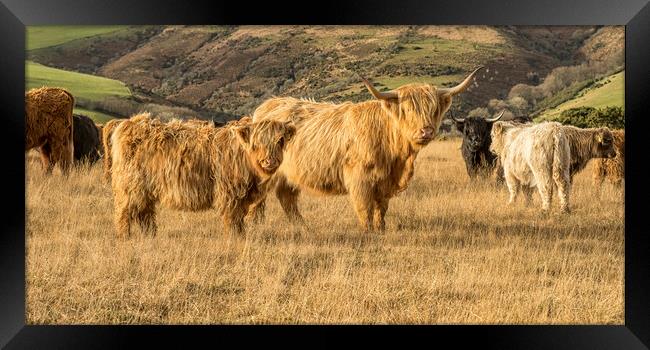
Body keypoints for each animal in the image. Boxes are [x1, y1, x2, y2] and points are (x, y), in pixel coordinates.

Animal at [110, 113, 294, 237]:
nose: (269, 161)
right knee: (124, 212)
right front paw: (235, 238)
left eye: (280, 141)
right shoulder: (230, 194)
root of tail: (131, 124)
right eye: (256, 143)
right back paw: (124, 237)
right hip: (130, 187)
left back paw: (150, 236)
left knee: (144, 212)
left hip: (145, 190)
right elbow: (233, 220)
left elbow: (239, 220)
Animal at [251, 66, 484, 231]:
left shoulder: (385, 182)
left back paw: (301, 226)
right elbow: (365, 207)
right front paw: (367, 231)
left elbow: (381, 208)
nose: (426, 131)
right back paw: (256, 225)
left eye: (433, 109)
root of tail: (268, 105)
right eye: (408, 110)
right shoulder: (359, 178)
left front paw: (381, 229)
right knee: (259, 199)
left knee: (286, 197)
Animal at [488, 121, 616, 213]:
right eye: (608, 141)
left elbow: (514, 189)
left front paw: (511, 204)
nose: (491, 149)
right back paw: (564, 208)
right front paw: (528, 204)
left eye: (492, 136)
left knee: (546, 187)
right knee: (564, 185)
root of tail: (555, 130)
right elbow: (527, 191)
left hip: (542, 169)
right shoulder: (526, 173)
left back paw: (545, 209)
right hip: (562, 165)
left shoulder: (510, 172)